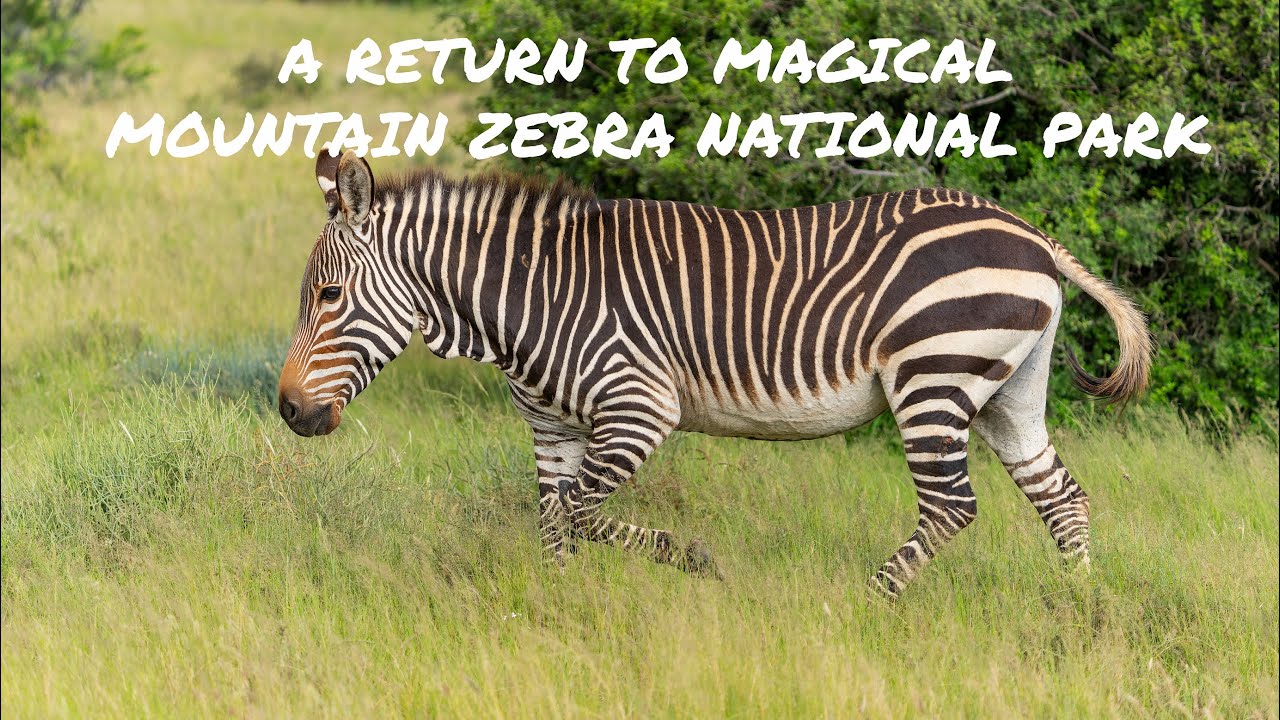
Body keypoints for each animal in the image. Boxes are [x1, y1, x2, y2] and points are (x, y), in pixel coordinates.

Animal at [278, 147, 1152, 599]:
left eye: (329, 296)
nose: (287, 412)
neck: (529, 297)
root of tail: (1033, 235)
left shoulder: (639, 405)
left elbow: (584, 514)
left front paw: (696, 559)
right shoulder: (552, 424)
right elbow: (554, 522)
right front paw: (557, 614)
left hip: (933, 375)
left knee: (952, 508)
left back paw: (865, 604)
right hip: (1007, 390)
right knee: (1061, 500)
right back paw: (1080, 612)